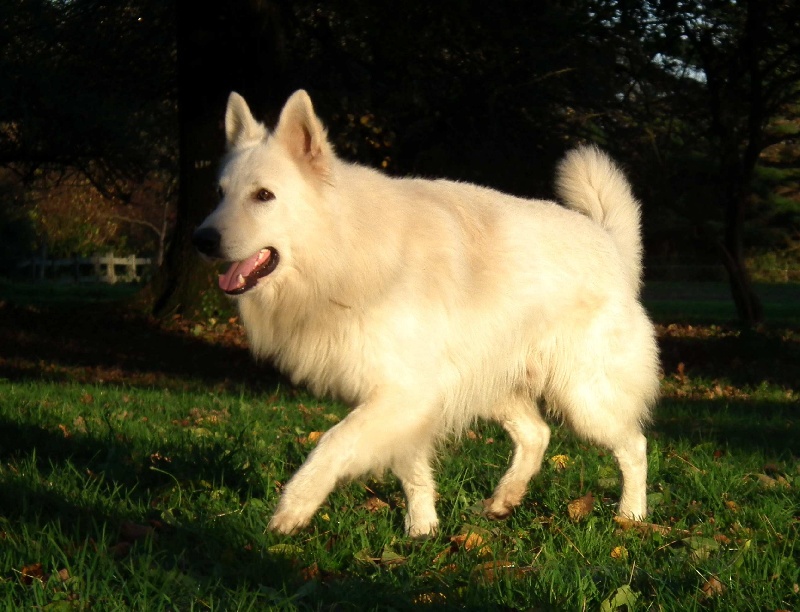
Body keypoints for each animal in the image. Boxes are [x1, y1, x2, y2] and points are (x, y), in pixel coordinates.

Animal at [191, 89, 660, 536]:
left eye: (263, 196)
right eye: (219, 194)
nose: (202, 240)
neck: (343, 246)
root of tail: (608, 240)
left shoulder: (402, 394)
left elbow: (333, 442)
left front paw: (294, 507)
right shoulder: (408, 403)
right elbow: (411, 471)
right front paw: (422, 530)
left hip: (585, 399)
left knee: (634, 446)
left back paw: (631, 516)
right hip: (494, 385)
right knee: (537, 434)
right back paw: (505, 498)